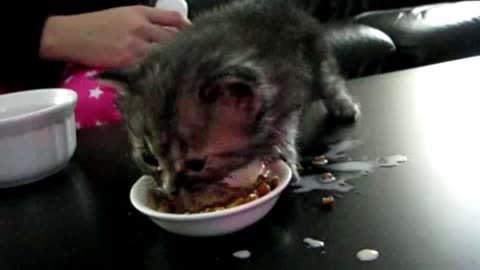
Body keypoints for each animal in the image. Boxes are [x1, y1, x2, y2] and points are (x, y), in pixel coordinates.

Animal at [97, 0, 360, 195]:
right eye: (148, 158)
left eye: (197, 165)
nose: (170, 191)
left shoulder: (286, 94)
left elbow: (284, 130)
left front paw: (284, 155)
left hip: (316, 58)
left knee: (330, 81)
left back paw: (344, 106)